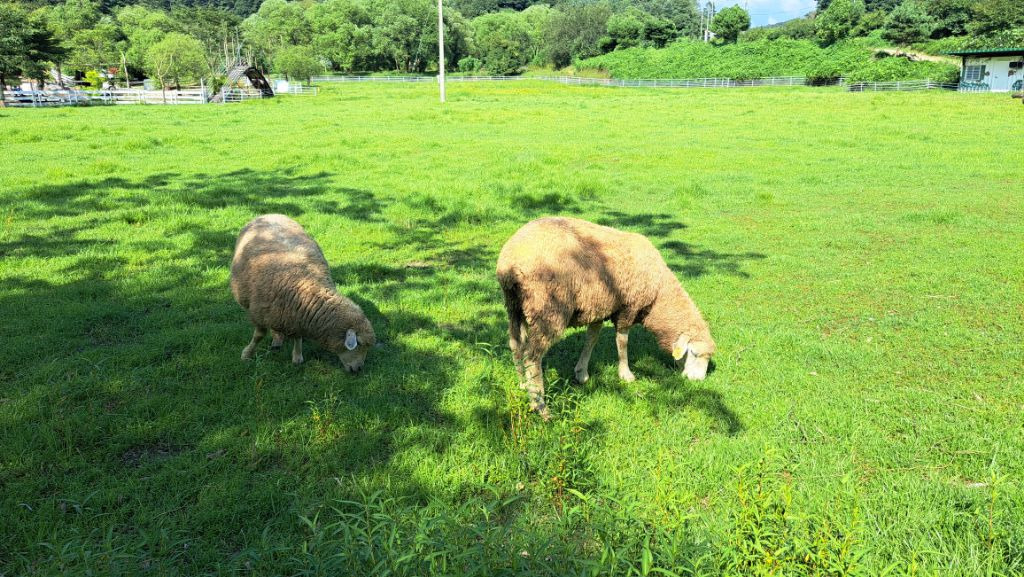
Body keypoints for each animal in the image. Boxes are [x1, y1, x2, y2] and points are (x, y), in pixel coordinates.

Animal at [230, 214, 376, 372]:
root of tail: (269, 214)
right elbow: (259, 336)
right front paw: (247, 354)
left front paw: (297, 356)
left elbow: (298, 337)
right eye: (359, 343)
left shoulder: (296, 317)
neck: (306, 287)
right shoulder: (259, 314)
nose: (359, 369)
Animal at [496, 216, 715, 419]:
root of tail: (510, 261)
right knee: (532, 356)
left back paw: (523, 384)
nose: (698, 381)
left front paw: (582, 373)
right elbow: (622, 342)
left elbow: (591, 340)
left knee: (516, 345)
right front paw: (625, 374)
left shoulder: (598, 308)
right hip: (548, 309)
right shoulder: (628, 307)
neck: (659, 294)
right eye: (694, 354)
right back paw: (540, 405)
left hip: (514, 306)